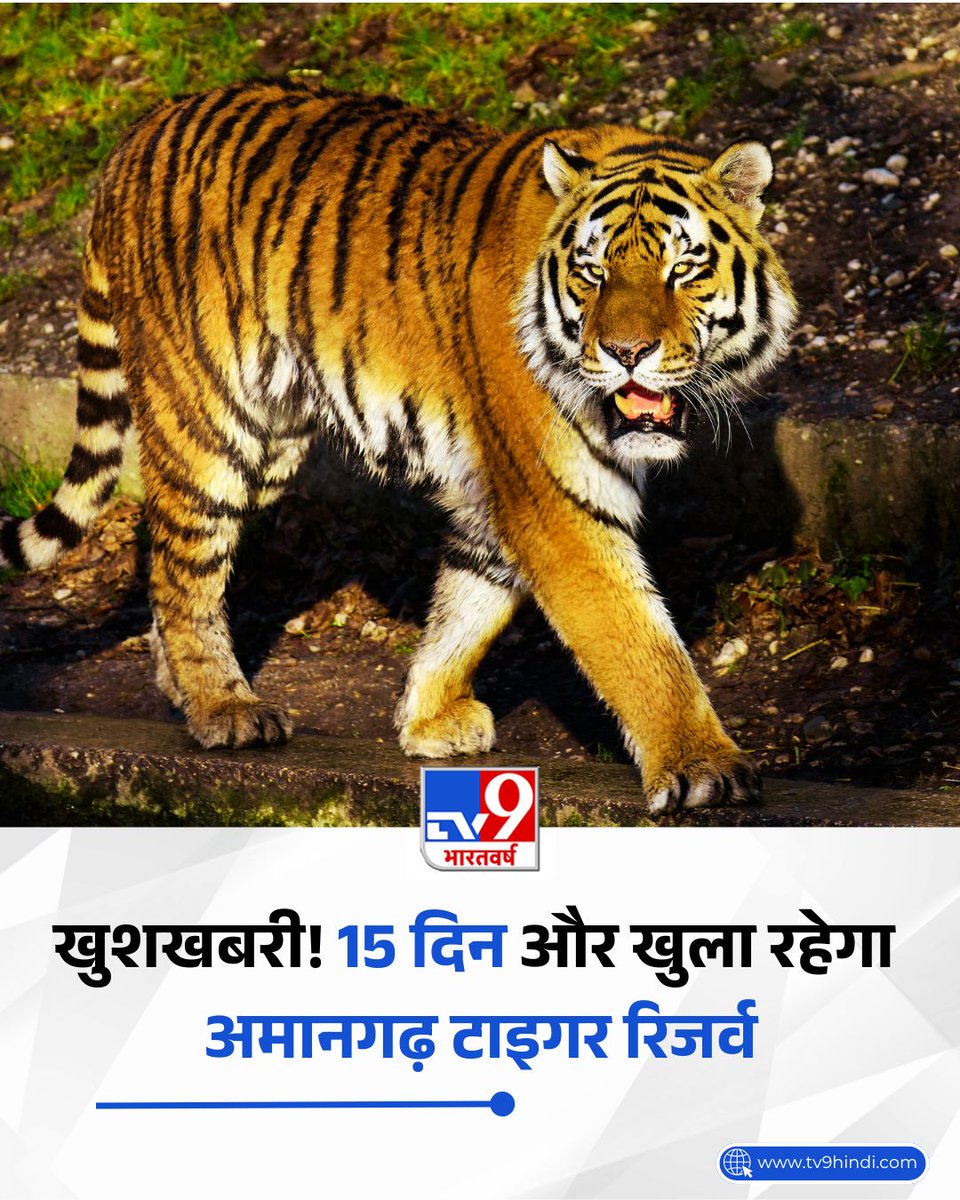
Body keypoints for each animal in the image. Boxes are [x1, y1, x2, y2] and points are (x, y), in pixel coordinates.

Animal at [0, 79, 796, 814]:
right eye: (593, 271)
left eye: (683, 269)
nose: (627, 352)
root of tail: (138, 133)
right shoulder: (553, 495)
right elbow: (637, 640)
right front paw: (702, 769)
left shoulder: (498, 492)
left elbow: (470, 604)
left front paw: (426, 718)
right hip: (209, 422)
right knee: (183, 564)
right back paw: (224, 709)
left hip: (271, 441)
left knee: (170, 559)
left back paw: (187, 690)